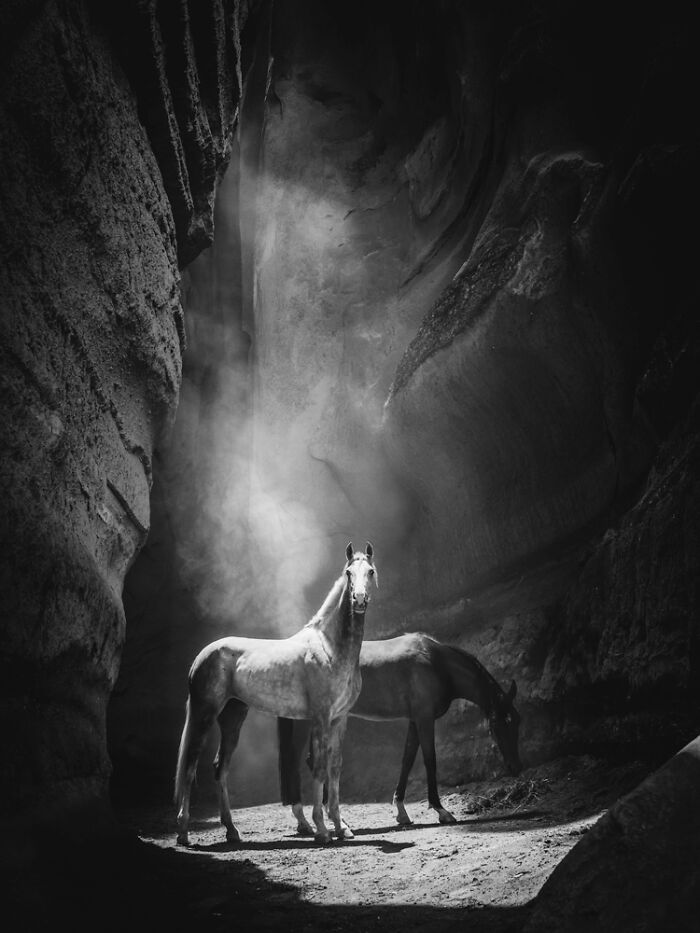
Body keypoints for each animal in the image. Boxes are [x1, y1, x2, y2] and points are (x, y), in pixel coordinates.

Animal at [174, 541, 377, 846]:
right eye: (348, 572)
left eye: (371, 571)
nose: (360, 599)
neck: (330, 648)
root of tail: (203, 656)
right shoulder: (320, 717)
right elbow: (319, 767)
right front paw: (322, 829)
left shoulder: (339, 719)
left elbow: (335, 768)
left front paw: (341, 827)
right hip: (204, 714)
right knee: (190, 766)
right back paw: (184, 833)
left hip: (233, 716)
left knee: (220, 767)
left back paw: (232, 831)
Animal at [277, 632, 521, 832]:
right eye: (499, 722)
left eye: (516, 722)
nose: (515, 767)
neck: (437, 663)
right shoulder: (424, 719)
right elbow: (430, 760)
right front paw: (441, 810)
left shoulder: (415, 720)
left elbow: (407, 759)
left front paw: (401, 811)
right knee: (297, 762)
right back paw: (314, 819)